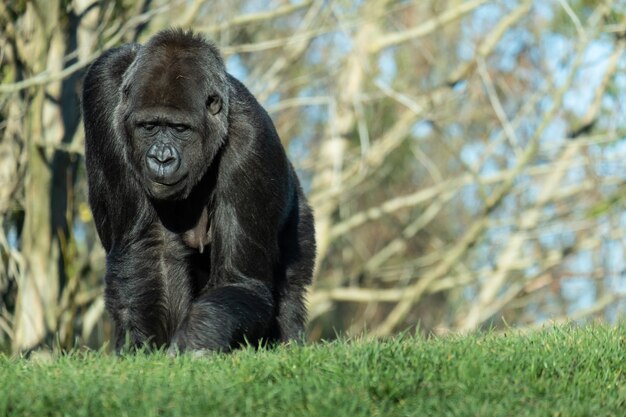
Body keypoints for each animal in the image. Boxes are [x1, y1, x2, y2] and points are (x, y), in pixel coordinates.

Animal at [82, 29, 314, 352]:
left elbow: (240, 282)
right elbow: (152, 250)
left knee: (291, 289)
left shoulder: (253, 145)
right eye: (149, 126)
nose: (162, 159)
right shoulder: (102, 89)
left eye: (180, 129)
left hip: (300, 215)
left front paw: (197, 333)